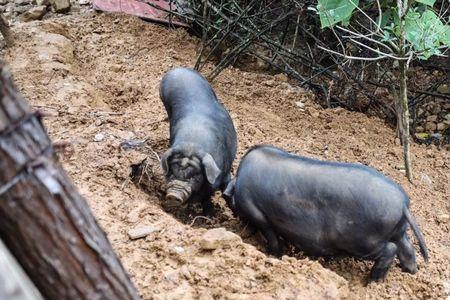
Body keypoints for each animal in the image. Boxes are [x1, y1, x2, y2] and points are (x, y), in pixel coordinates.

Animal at [159, 67, 237, 216]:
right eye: (171, 171)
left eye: (195, 177)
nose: (173, 195)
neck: (192, 145)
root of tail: (178, 69)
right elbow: (205, 200)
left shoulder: (224, 173)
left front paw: (210, 216)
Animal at [225, 145, 428, 282]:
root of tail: (403, 203)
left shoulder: (258, 214)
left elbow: (272, 237)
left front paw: (273, 255)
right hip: (398, 231)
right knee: (407, 247)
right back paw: (411, 271)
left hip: (364, 241)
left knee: (390, 249)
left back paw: (372, 281)